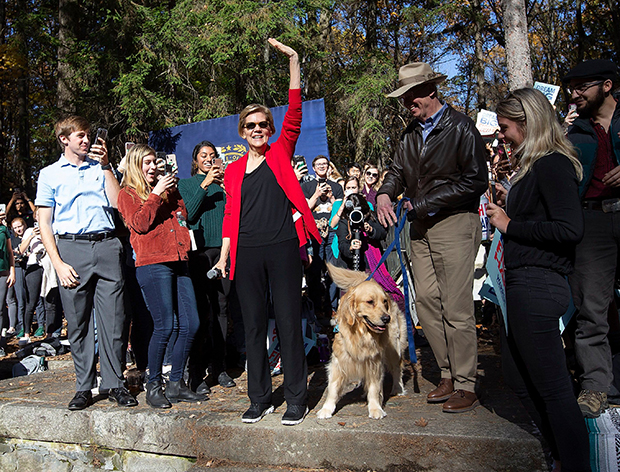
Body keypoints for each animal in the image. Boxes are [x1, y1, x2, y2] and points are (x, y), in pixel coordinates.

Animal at [318, 264, 410, 418]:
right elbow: (332, 388)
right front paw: (326, 409)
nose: (387, 318)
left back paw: (398, 388)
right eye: (370, 302)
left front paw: (375, 408)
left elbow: (374, 388)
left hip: (393, 348)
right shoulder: (338, 361)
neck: (361, 334)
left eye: (384, 302)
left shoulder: (375, 362)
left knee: (397, 367)